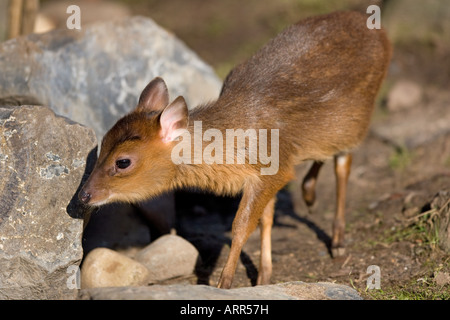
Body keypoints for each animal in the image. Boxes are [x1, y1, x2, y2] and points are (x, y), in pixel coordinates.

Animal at [80, 11, 390, 288]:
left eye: (123, 162)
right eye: (99, 147)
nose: (83, 196)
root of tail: (379, 32)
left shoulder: (269, 167)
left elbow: (240, 227)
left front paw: (224, 283)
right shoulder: (273, 171)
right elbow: (266, 218)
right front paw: (264, 275)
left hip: (355, 119)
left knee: (343, 163)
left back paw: (336, 239)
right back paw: (309, 193)